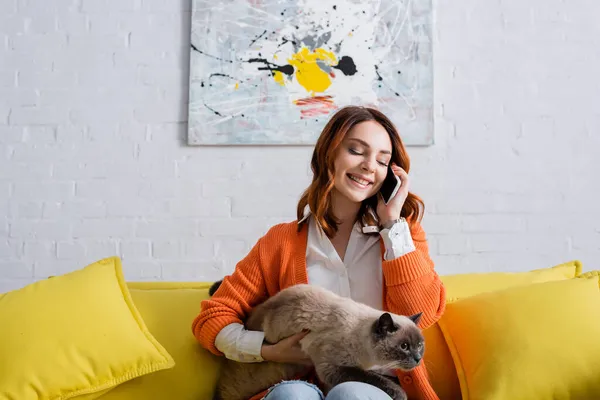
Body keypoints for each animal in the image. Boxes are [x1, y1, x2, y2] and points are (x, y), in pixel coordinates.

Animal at [209, 282, 424, 400]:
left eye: (420, 346)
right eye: (404, 346)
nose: (417, 359)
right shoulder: (332, 368)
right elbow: (375, 379)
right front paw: (401, 394)